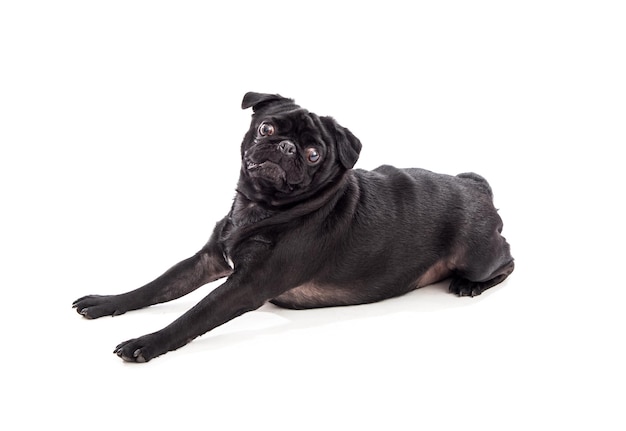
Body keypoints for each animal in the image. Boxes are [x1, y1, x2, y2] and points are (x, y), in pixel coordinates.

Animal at [72, 93, 512, 362]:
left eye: (315, 153)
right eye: (267, 128)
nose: (286, 147)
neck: (261, 207)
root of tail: (475, 184)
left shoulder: (247, 285)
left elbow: (194, 316)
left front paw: (148, 342)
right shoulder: (208, 259)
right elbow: (156, 286)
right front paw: (107, 301)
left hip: (477, 255)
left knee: (507, 260)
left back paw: (469, 285)